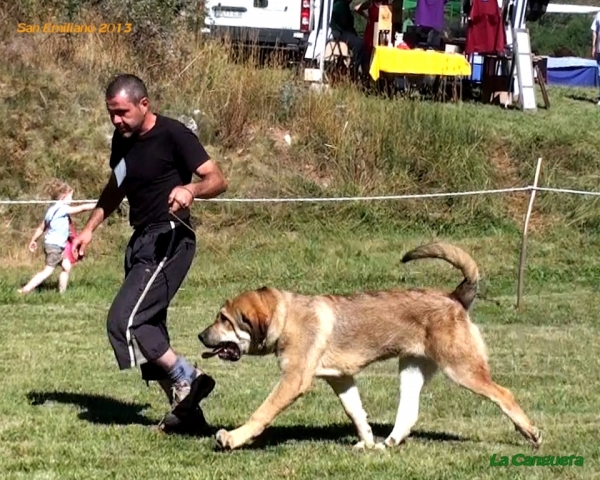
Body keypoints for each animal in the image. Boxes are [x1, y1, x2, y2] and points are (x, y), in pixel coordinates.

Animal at [199, 244, 540, 450]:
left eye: (224, 318)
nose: (201, 336)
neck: (286, 318)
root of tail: (455, 297)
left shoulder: (293, 380)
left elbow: (262, 412)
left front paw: (233, 437)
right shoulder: (341, 379)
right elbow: (356, 413)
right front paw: (367, 442)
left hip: (462, 369)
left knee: (504, 393)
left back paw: (531, 432)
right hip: (412, 370)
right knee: (409, 413)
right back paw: (388, 443)